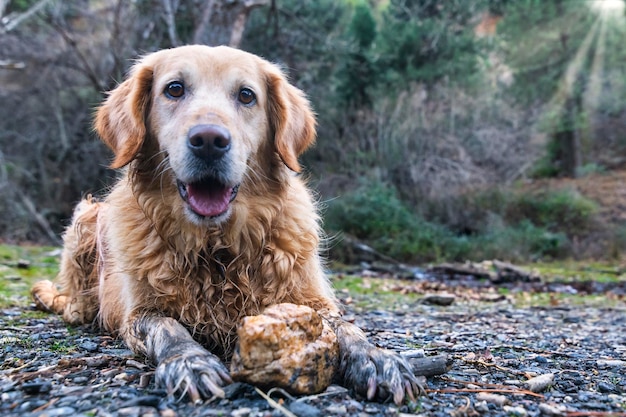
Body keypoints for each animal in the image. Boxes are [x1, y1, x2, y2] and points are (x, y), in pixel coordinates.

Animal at [29, 44, 422, 404]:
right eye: (174, 89)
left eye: (246, 95)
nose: (208, 141)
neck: (216, 247)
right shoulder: (139, 311)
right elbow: (168, 328)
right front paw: (190, 362)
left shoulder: (310, 297)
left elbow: (347, 328)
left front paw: (376, 358)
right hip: (85, 217)